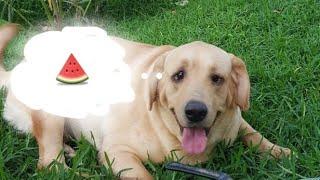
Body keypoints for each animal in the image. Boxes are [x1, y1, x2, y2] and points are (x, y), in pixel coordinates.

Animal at [0, 23, 292, 179]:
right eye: (178, 75)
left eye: (217, 78)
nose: (195, 111)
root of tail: (17, 67)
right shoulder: (117, 151)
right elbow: (145, 175)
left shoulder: (237, 122)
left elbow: (254, 135)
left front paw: (279, 151)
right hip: (51, 112)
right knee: (49, 163)